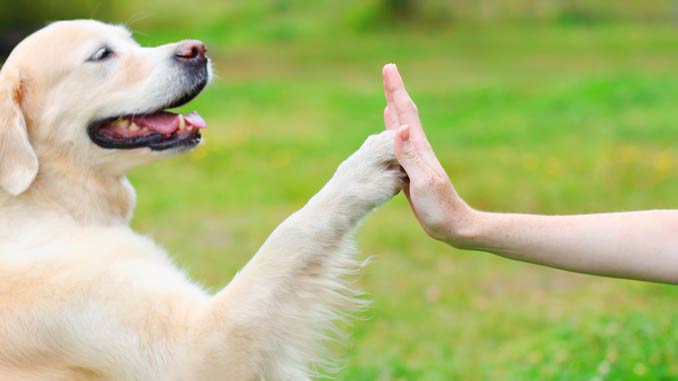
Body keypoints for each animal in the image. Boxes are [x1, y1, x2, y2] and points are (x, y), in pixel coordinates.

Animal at [0, 21, 404, 380]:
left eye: (131, 40)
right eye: (101, 54)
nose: (197, 49)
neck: (50, 203)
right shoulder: (192, 350)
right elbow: (290, 235)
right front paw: (365, 168)